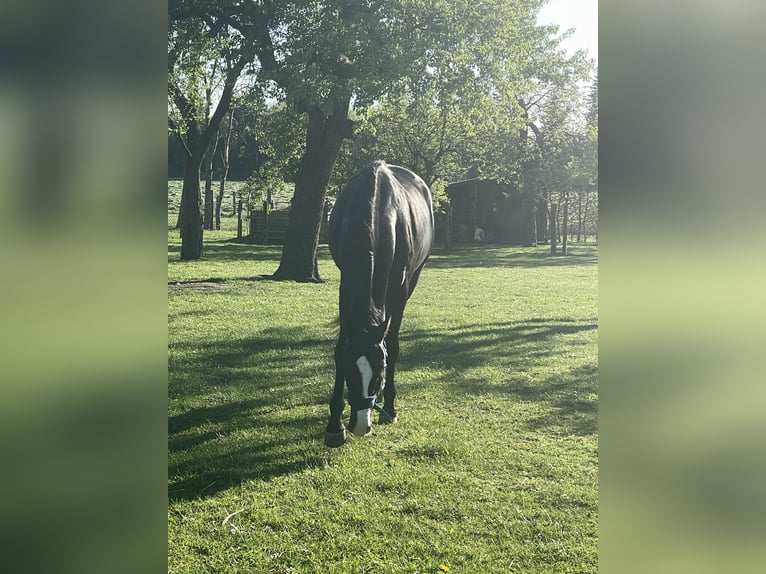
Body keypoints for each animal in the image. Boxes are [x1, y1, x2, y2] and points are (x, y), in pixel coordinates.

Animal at [324, 161, 434, 447]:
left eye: (380, 374)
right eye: (349, 372)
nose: (361, 426)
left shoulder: (400, 289)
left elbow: (392, 345)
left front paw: (391, 407)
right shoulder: (346, 283)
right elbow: (340, 348)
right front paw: (334, 424)